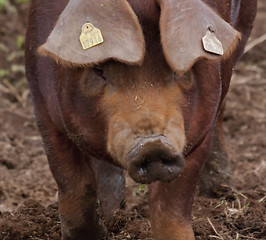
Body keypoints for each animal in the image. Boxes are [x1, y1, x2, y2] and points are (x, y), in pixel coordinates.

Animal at [25, 0, 258, 240]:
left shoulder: (199, 131)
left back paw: (221, 191)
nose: (153, 145)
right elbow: (73, 182)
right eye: (99, 70)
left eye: (178, 71)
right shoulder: (42, 106)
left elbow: (172, 204)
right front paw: (97, 232)